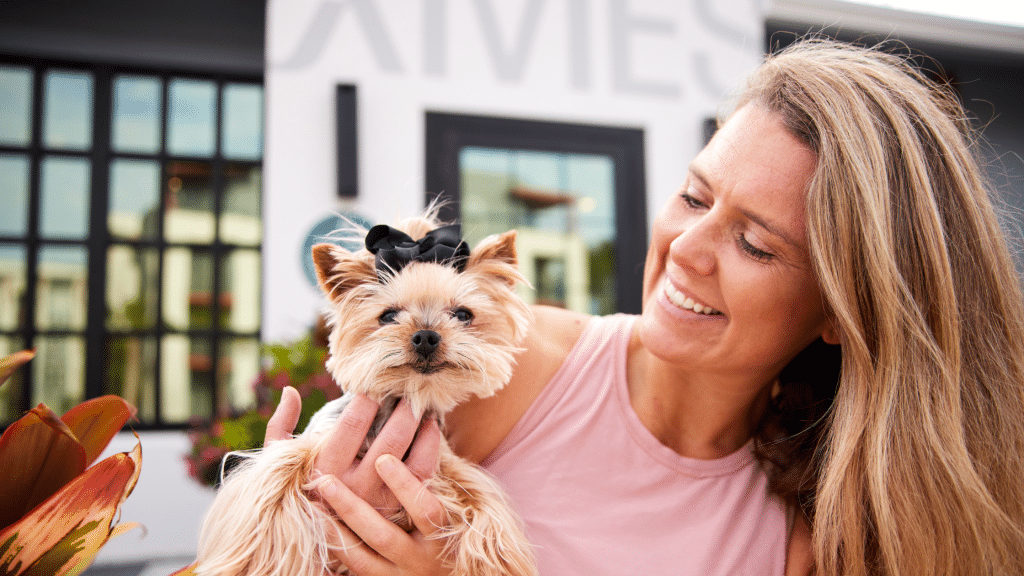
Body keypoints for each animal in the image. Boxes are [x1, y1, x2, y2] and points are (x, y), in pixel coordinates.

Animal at [194, 212, 540, 573]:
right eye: (387, 316)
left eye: (463, 315)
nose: (426, 336)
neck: (399, 401)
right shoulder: (315, 444)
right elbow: (275, 478)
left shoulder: (444, 466)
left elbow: (482, 498)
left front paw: (498, 563)